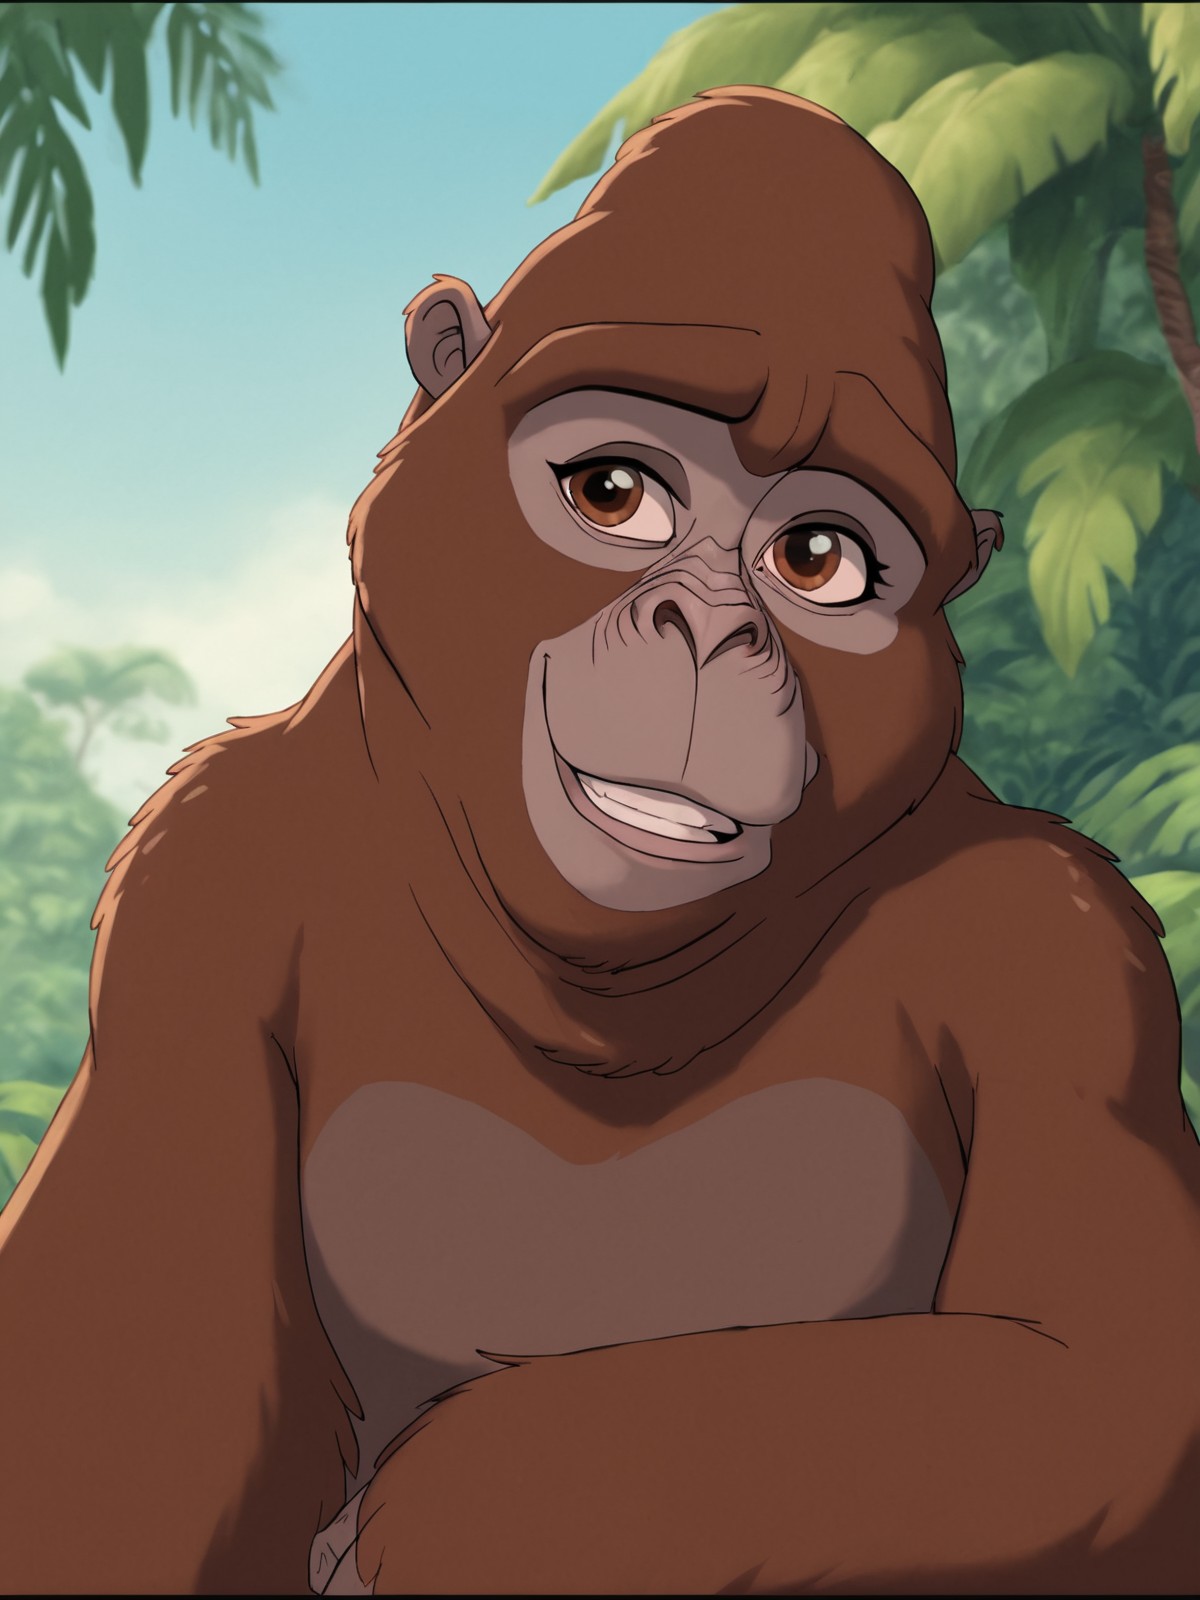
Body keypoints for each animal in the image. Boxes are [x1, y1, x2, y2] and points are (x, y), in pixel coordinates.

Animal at [1, 86, 1197, 1595]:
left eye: (819, 562)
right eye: (615, 493)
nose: (713, 630)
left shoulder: (1058, 948)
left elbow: (1102, 1377)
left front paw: (478, 1500)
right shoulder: (202, 884)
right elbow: (122, 1406)